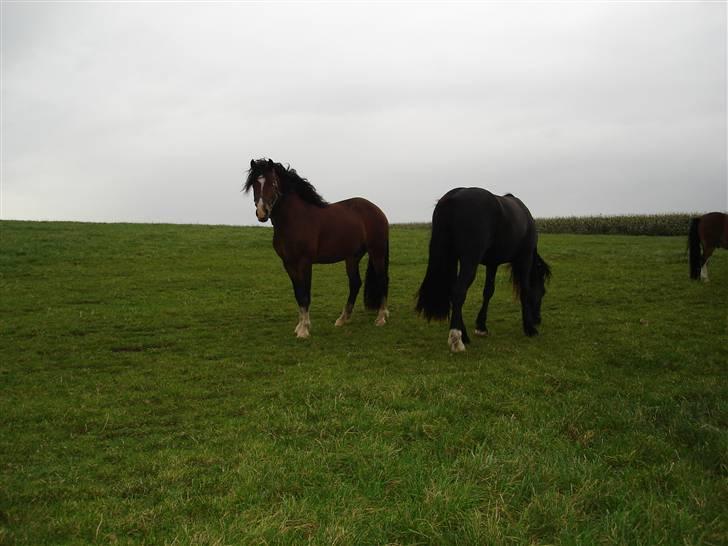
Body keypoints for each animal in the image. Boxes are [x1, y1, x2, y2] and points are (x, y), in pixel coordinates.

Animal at [243, 157, 392, 336]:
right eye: (254, 185)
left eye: (273, 184)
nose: (262, 213)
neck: (294, 219)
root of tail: (377, 211)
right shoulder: (288, 264)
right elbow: (298, 293)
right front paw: (299, 326)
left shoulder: (305, 262)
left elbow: (305, 294)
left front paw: (304, 329)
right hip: (352, 257)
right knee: (355, 283)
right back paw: (342, 319)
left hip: (377, 252)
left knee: (382, 279)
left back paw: (381, 318)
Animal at [418, 185, 548, 350]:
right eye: (543, 292)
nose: (538, 319)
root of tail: (453, 197)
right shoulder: (525, 257)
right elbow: (525, 290)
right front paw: (529, 328)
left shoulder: (492, 264)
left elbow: (488, 292)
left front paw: (481, 326)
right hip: (470, 261)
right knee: (458, 292)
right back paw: (457, 338)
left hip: (453, 258)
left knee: (453, 292)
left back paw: (464, 335)